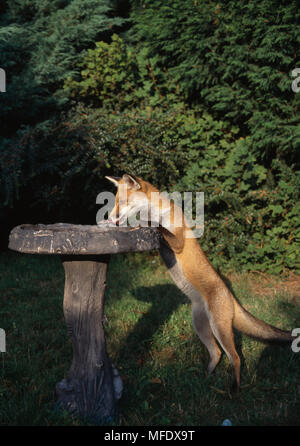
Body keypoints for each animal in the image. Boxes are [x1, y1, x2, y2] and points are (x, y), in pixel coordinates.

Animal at [105, 174, 290, 390]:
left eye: (123, 202)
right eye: (115, 202)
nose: (111, 217)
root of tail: (230, 296)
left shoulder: (178, 241)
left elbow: (156, 225)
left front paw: (145, 222)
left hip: (219, 329)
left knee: (235, 357)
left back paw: (234, 388)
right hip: (200, 327)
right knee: (216, 353)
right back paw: (206, 377)